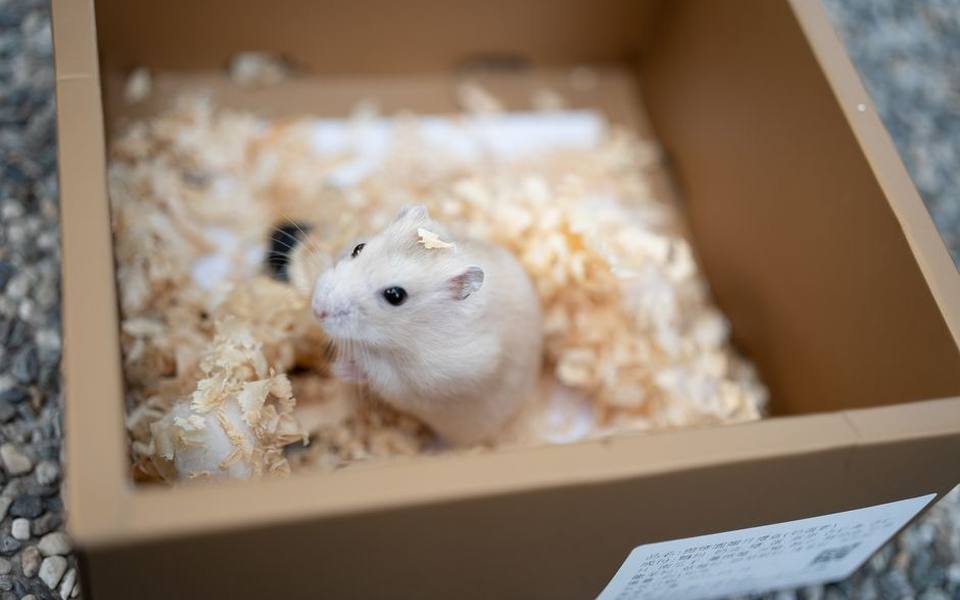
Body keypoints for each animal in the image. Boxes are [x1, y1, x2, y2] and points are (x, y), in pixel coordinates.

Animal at [310, 205, 543, 445]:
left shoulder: (428, 377)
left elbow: (378, 375)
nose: (317, 310)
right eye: (358, 248)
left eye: (395, 296)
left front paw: (340, 369)